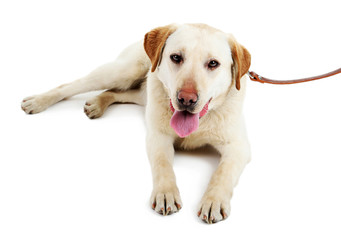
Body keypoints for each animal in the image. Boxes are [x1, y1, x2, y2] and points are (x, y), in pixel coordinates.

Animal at [20, 23, 250, 224]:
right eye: (176, 57)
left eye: (213, 63)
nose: (186, 99)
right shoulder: (158, 137)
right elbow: (162, 164)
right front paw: (165, 193)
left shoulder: (239, 148)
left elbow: (222, 172)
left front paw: (214, 200)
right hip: (123, 72)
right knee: (72, 85)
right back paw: (39, 100)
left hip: (140, 91)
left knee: (118, 92)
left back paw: (98, 102)